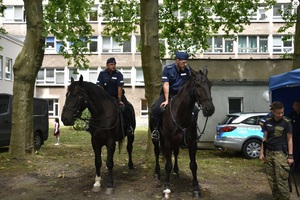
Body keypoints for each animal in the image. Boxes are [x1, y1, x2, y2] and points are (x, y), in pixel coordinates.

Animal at [151, 67, 214, 198]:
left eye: (210, 84)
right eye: (198, 84)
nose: (209, 109)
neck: (180, 114)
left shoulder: (192, 143)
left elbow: (193, 165)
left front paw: (196, 188)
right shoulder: (168, 142)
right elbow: (168, 165)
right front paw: (167, 187)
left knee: (175, 153)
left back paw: (176, 172)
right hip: (156, 139)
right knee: (157, 152)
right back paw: (157, 173)